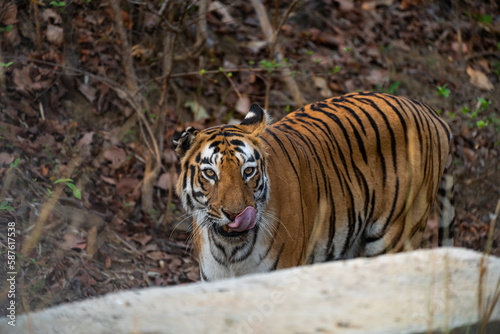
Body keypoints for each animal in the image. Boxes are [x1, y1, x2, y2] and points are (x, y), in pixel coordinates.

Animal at [174, 92, 456, 282]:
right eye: (210, 173)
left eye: (249, 171)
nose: (236, 215)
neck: (230, 251)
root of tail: (430, 113)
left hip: (396, 235)